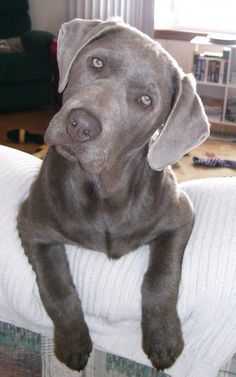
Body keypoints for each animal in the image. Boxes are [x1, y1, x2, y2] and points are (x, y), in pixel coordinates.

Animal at [17, 17, 208, 370]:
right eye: (97, 63)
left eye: (145, 100)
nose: (80, 125)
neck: (102, 191)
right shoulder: (30, 225)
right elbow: (56, 286)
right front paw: (73, 344)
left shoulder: (181, 215)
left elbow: (162, 276)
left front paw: (163, 339)